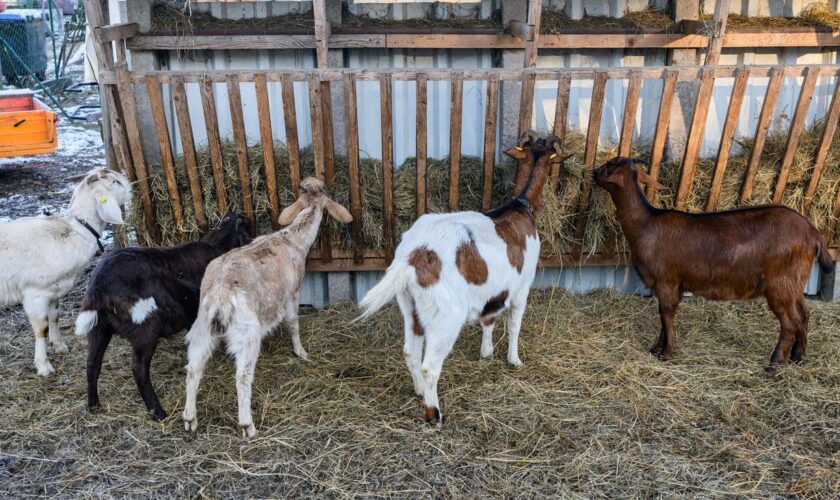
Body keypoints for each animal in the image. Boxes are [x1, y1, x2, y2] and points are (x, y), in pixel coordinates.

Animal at [0, 168, 130, 376]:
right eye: (115, 182)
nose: (132, 187)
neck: (74, 232)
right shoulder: (35, 294)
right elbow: (42, 329)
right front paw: (43, 366)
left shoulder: (53, 291)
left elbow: (54, 317)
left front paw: (60, 346)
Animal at [75, 212, 249, 418]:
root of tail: (98, 288)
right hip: (144, 328)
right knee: (139, 369)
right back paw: (158, 412)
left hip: (98, 327)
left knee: (92, 364)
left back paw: (93, 405)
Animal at [182, 178, 352, 436]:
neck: (293, 239)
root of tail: (221, 293)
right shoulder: (292, 293)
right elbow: (293, 323)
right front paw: (300, 352)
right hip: (247, 333)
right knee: (242, 375)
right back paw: (247, 425)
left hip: (202, 326)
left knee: (193, 368)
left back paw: (190, 418)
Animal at [354, 134, 564, 426]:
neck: (520, 207)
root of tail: (412, 258)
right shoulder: (522, 286)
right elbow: (514, 325)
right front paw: (514, 360)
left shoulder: (492, 291)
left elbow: (489, 319)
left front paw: (486, 352)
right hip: (446, 315)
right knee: (430, 366)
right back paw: (434, 414)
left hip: (411, 306)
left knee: (410, 351)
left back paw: (419, 390)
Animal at [592, 158, 836, 370]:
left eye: (610, 165)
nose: (593, 172)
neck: (646, 223)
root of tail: (813, 233)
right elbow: (663, 316)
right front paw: (656, 348)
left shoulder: (666, 281)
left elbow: (666, 314)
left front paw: (666, 352)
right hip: (795, 281)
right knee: (804, 315)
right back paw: (798, 356)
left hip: (780, 284)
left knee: (790, 322)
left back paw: (774, 363)